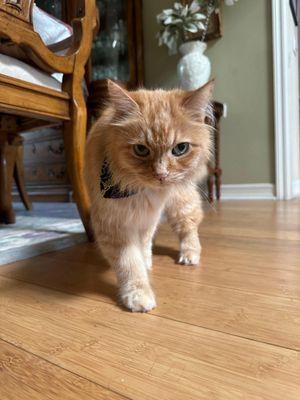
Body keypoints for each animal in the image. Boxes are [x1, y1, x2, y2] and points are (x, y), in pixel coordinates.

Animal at [84, 79, 213, 312]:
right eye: (141, 150)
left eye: (181, 148)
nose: (161, 175)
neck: (141, 191)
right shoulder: (116, 223)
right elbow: (130, 262)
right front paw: (139, 291)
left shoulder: (147, 217)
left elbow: (140, 249)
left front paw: (141, 281)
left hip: (180, 204)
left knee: (189, 228)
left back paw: (189, 255)